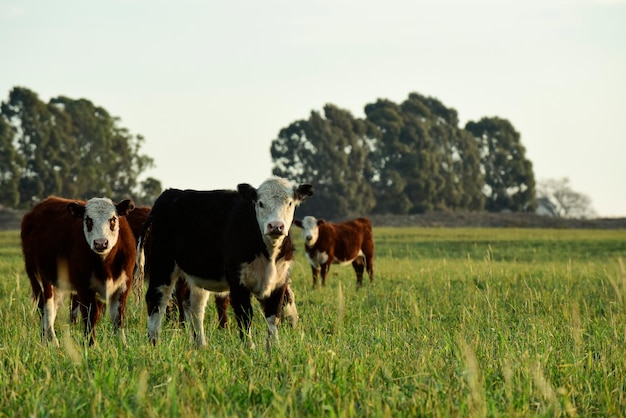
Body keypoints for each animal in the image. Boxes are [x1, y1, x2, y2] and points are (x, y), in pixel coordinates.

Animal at [20, 198, 135, 344]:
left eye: (113, 219)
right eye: (88, 220)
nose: (101, 243)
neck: (105, 265)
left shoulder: (123, 285)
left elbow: (118, 316)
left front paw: (122, 344)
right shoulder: (84, 287)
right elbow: (90, 315)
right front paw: (90, 344)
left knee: (53, 306)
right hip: (38, 276)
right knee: (46, 307)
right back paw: (51, 340)